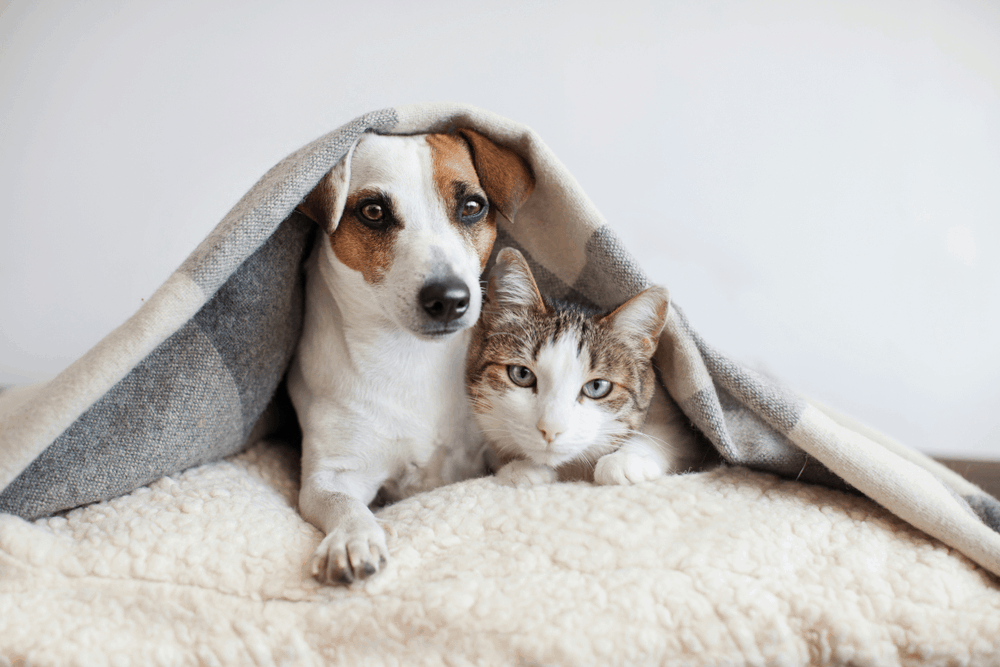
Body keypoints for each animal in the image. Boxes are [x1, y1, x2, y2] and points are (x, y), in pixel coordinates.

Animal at [286, 126, 536, 584]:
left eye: (472, 207)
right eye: (373, 211)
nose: (449, 298)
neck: (412, 357)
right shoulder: (331, 475)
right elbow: (343, 504)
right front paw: (352, 538)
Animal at [466, 248, 708, 488]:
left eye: (597, 386)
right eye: (522, 374)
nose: (551, 429)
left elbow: (670, 435)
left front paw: (626, 459)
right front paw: (521, 467)